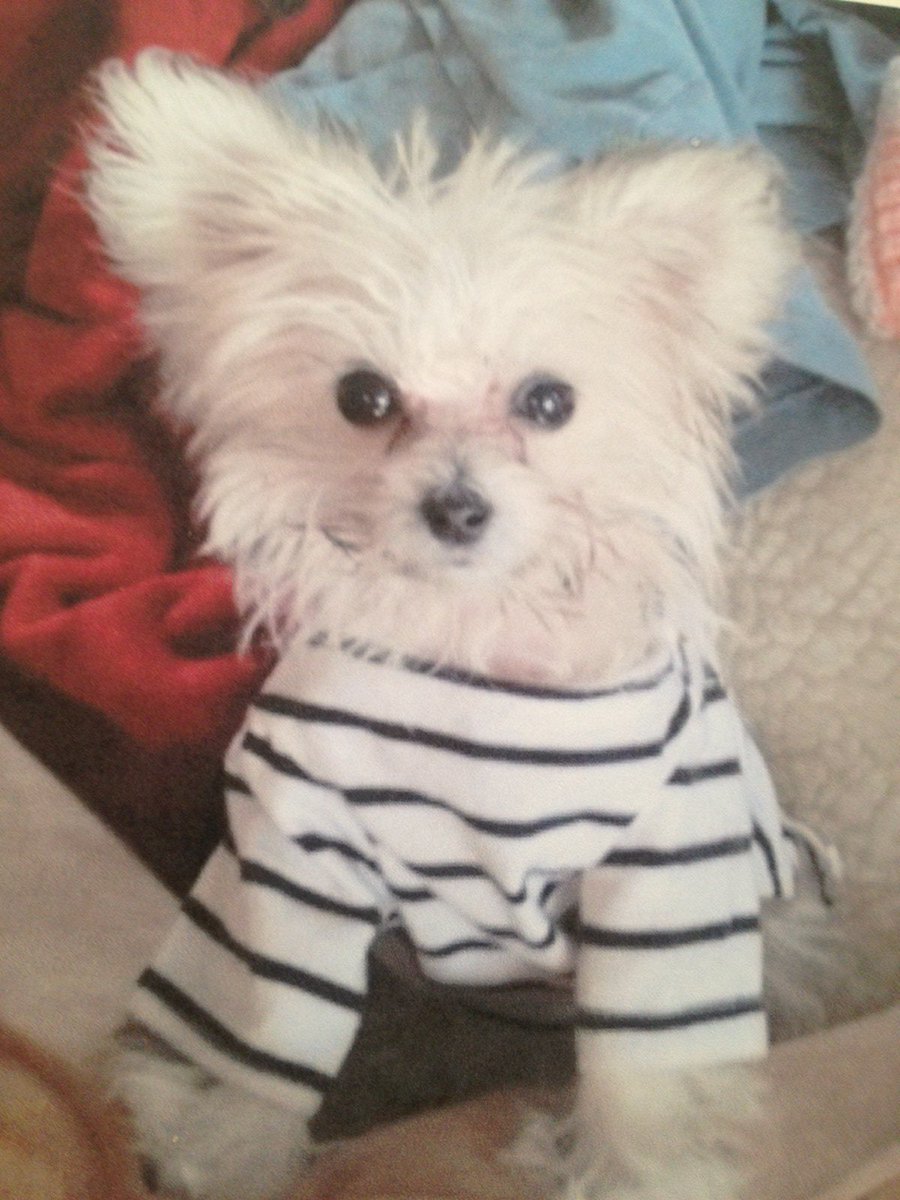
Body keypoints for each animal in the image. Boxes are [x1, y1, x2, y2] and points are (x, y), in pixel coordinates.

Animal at [85, 50, 800, 1200]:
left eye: (549, 402)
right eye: (363, 397)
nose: (456, 508)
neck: (473, 644)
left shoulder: (671, 862)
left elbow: (650, 1063)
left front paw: (648, 1171)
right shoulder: (290, 847)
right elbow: (264, 1022)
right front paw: (231, 1148)